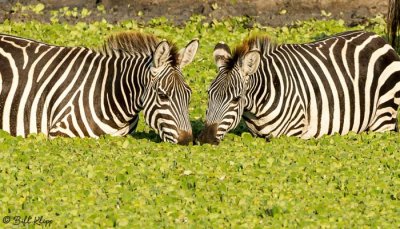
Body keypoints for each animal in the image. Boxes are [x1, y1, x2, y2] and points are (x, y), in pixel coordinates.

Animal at [198, 30, 400, 145]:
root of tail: (377, 37)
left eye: (236, 99)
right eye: (208, 95)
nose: (205, 140)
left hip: (383, 119)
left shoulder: (293, 134)